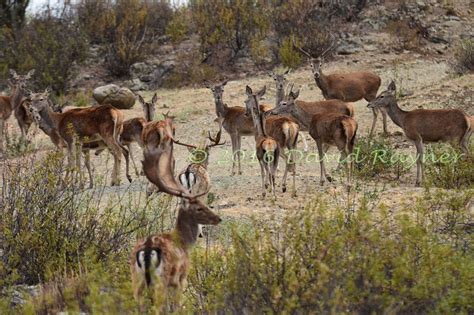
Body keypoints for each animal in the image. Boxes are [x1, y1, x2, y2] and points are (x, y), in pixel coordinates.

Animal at [131, 121, 222, 314]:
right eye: (200, 209)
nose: (218, 219)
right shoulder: (181, 278)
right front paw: (202, 232)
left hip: (137, 279)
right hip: (161, 280)